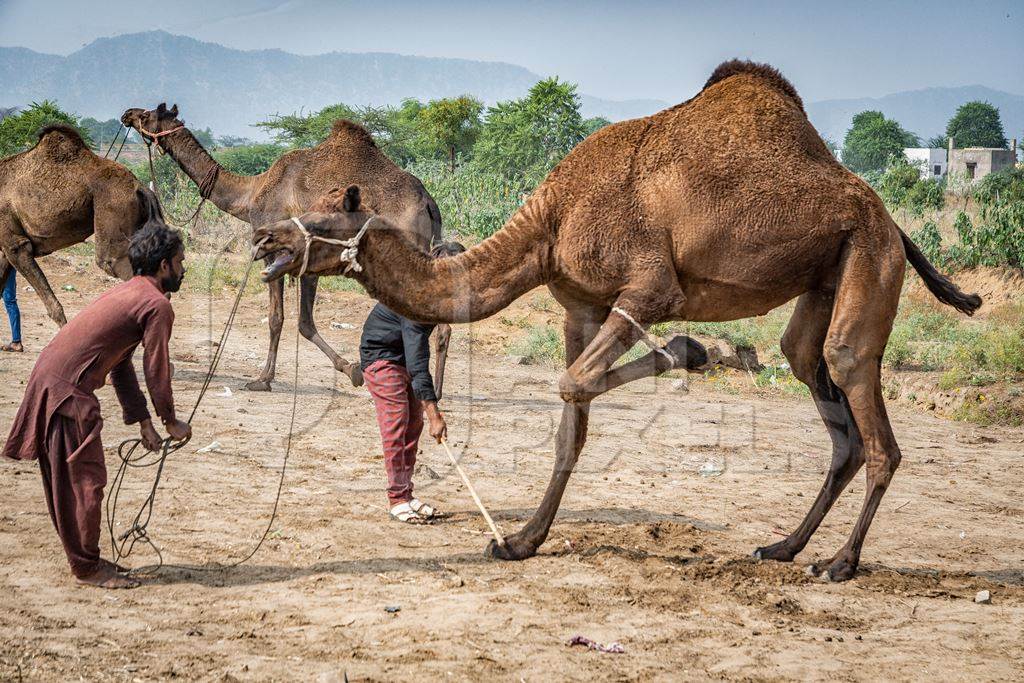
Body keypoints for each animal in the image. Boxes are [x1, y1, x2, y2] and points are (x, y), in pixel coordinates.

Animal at [0, 124, 166, 327]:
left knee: (114, 262)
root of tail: (140, 187)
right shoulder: (5, 248)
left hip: (113, 210)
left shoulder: (15, 244)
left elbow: (53, 307)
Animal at [119, 103, 448, 393]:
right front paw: (351, 369)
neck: (250, 195)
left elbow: (280, 319)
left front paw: (263, 379)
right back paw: (435, 389)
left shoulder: (276, 252)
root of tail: (428, 203)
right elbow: (304, 322)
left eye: (148, 114)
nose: (127, 114)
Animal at [249, 61, 983, 581]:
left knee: (859, 386)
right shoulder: (579, 303)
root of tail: (894, 220)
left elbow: (574, 381)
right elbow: (570, 424)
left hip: (868, 254)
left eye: (319, 218)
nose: (264, 241)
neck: (550, 220)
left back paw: (839, 563)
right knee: (817, 379)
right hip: (827, 273)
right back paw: (783, 546)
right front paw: (520, 541)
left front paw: (693, 350)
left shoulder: (648, 287)